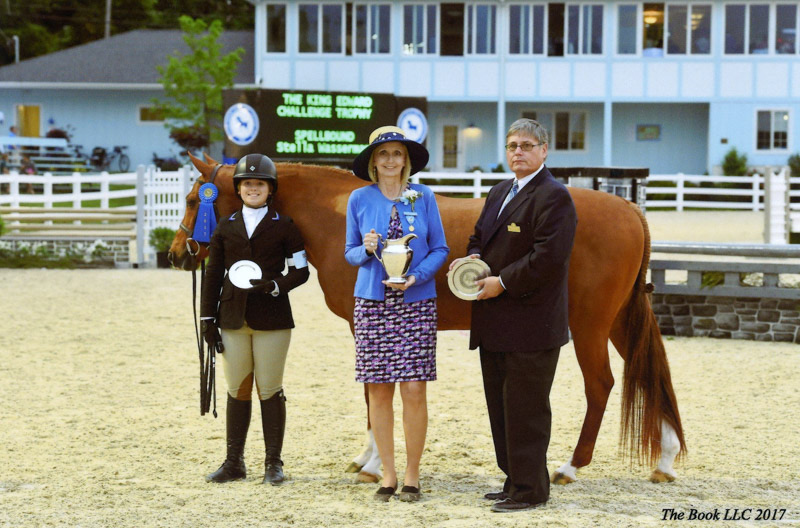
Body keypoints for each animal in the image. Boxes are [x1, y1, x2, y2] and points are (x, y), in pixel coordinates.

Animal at [172, 153, 684, 482]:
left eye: (197, 199)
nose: (177, 253)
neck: (337, 215)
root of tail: (630, 210)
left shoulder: (362, 323)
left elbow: (371, 393)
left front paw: (371, 463)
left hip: (589, 325)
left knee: (601, 385)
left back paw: (570, 466)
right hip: (618, 321)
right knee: (651, 376)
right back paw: (665, 460)